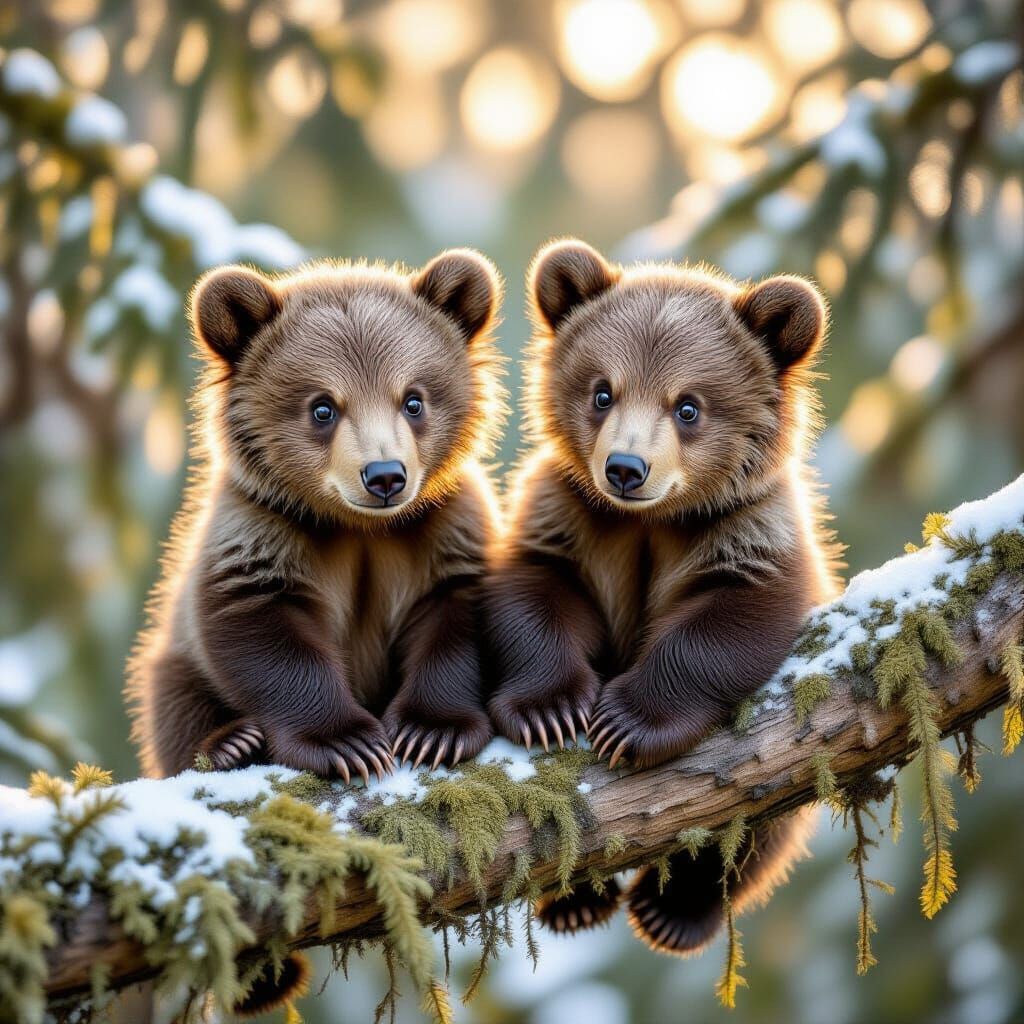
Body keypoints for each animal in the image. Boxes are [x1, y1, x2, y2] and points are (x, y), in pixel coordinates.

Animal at [126, 249, 505, 786]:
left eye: (413, 399)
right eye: (323, 407)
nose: (385, 476)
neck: (359, 527)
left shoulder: (441, 526)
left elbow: (453, 618)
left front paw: (433, 731)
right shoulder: (264, 528)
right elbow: (262, 633)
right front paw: (346, 742)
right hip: (174, 654)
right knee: (170, 697)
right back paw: (230, 744)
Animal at [482, 238, 841, 955]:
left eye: (688, 406)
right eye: (602, 391)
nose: (626, 468)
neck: (651, 523)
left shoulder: (746, 532)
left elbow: (731, 622)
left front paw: (628, 721)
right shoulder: (571, 518)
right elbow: (536, 596)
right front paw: (550, 708)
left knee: (764, 830)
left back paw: (672, 908)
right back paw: (576, 902)